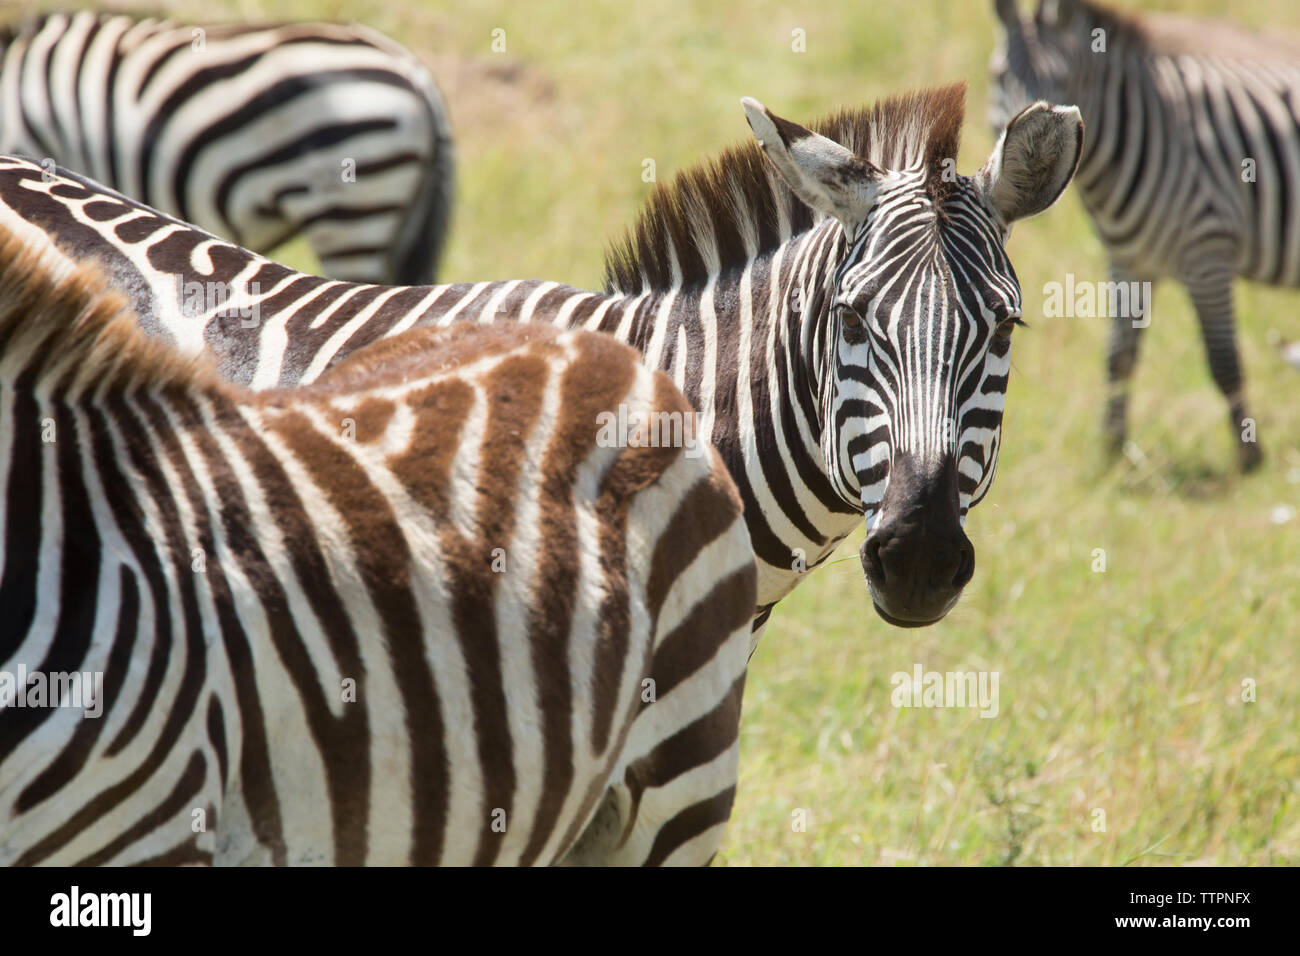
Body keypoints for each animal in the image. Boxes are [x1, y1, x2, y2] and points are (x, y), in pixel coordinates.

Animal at [982, 0, 1300, 470]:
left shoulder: (1208, 251)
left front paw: (1249, 459)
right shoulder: (1128, 262)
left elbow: (1224, 361)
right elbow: (1119, 357)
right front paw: (1111, 450)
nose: (1026, 160)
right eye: (1000, 74)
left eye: (1063, 82)